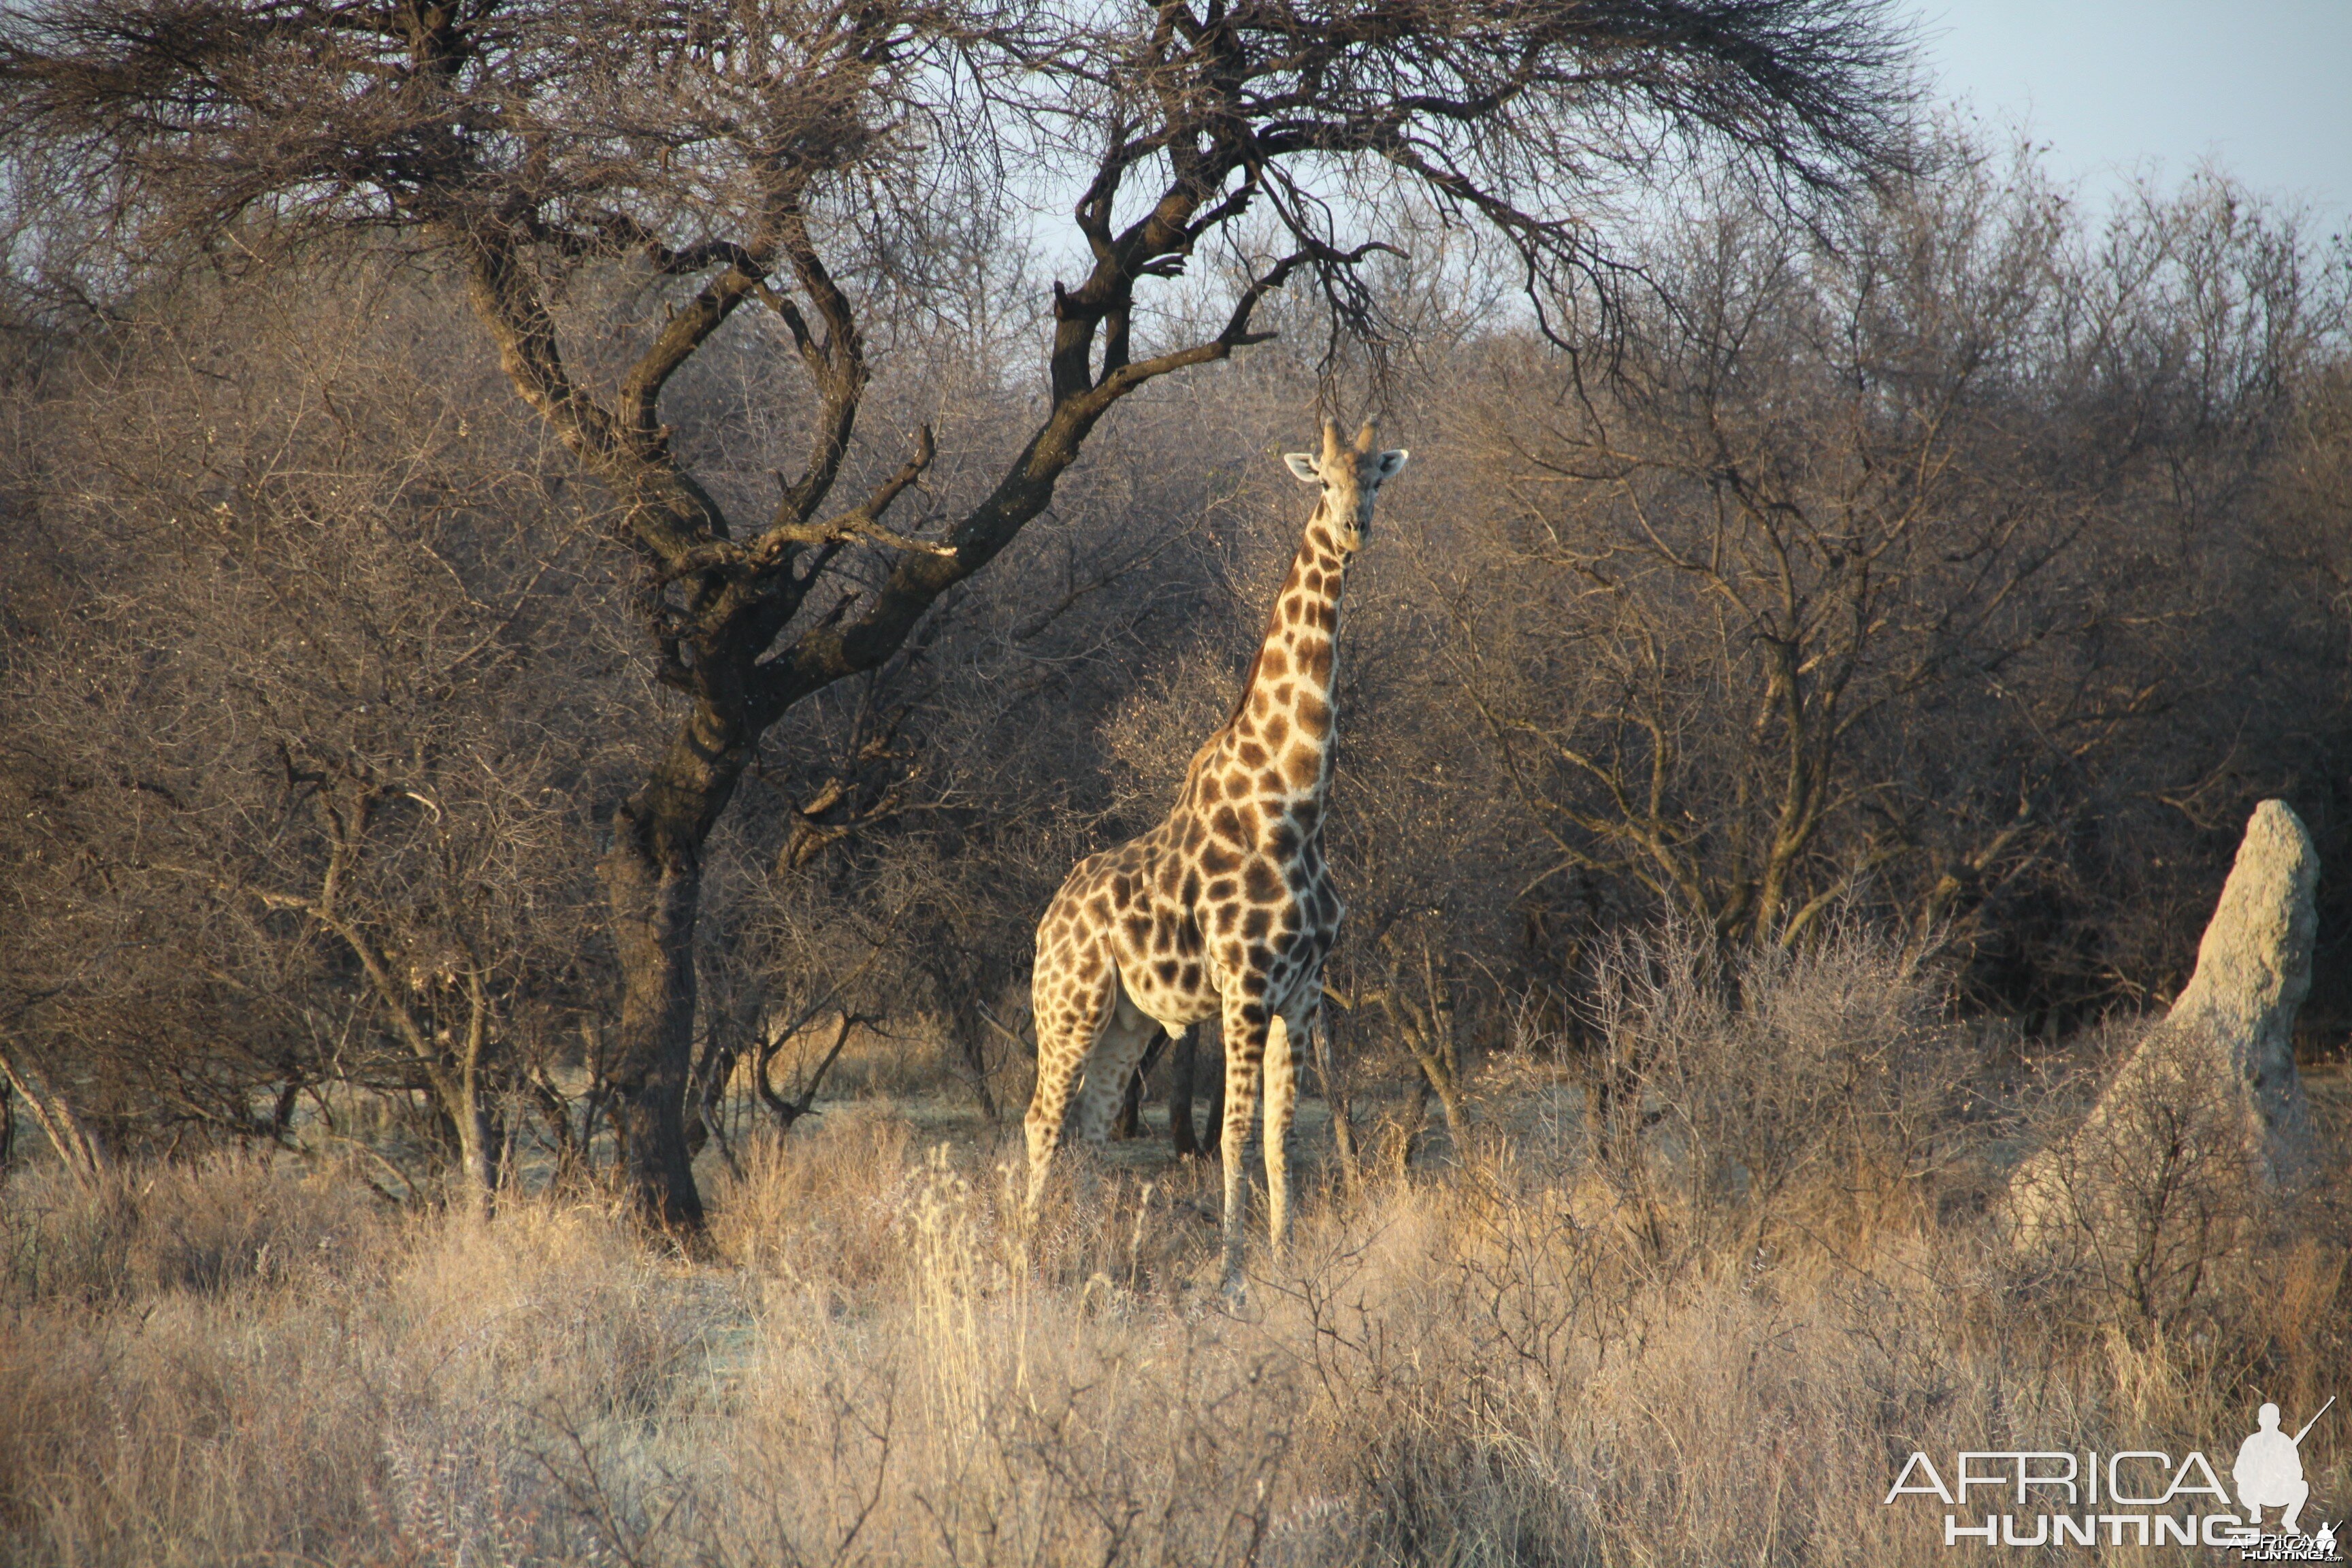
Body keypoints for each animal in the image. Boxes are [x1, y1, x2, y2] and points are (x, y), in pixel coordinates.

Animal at [1020, 413, 1401, 1288]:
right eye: (1322, 478)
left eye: (1376, 477)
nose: (1353, 530)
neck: (1296, 803)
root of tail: (1047, 922)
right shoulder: (1246, 985)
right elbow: (1231, 1134)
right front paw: (1231, 1274)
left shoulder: (1303, 990)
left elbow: (1279, 1137)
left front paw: (1284, 1262)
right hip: (1069, 1006)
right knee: (1041, 1119)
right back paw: (1017, 1257)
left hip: (1126, 1019)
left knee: (1093, 1122)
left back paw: (1091, 1261)